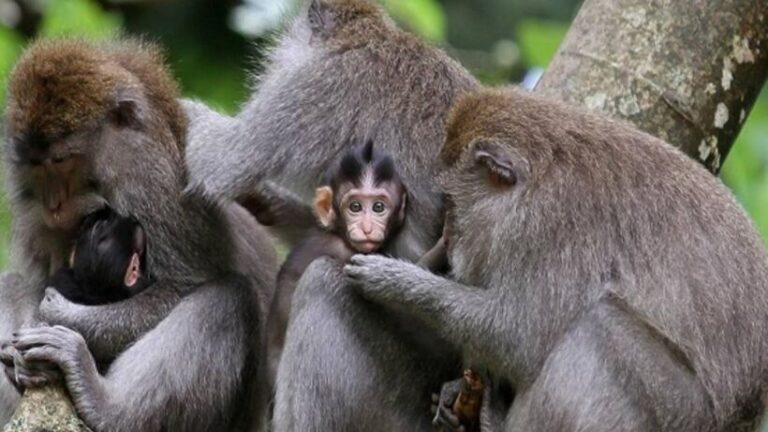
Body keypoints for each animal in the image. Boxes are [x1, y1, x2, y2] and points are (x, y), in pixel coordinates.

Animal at [0, 39, 278, 431]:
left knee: (230, 298)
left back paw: (107, 407)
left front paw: (63, 315)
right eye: (36, 166)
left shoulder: (149, 179)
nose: (53, 204)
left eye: (61, 161)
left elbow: (182, 286)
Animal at [343, 86, 768, 431]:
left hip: (677, 411)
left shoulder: (555, 224)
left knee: (600, 324)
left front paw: (395, 281)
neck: (539, 176)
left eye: (450, 203)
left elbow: (518, 335)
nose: (447, 240)